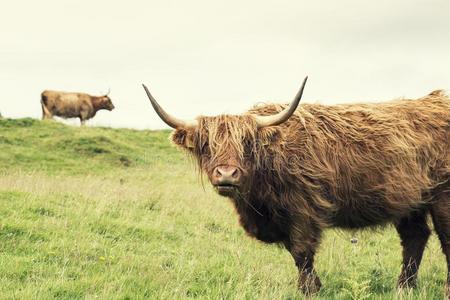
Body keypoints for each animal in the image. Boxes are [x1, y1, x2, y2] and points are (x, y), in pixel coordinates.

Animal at [142, 78, 448, 296]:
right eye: (206, 145)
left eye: (247, 143)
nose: (227, 174)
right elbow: (295, 253)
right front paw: (314, 286)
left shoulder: (304, 210)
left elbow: (302, 252)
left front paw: (309, 290)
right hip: (410, 201)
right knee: (415, 237)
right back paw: (404, 288)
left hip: (442, 197)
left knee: (443, 239)